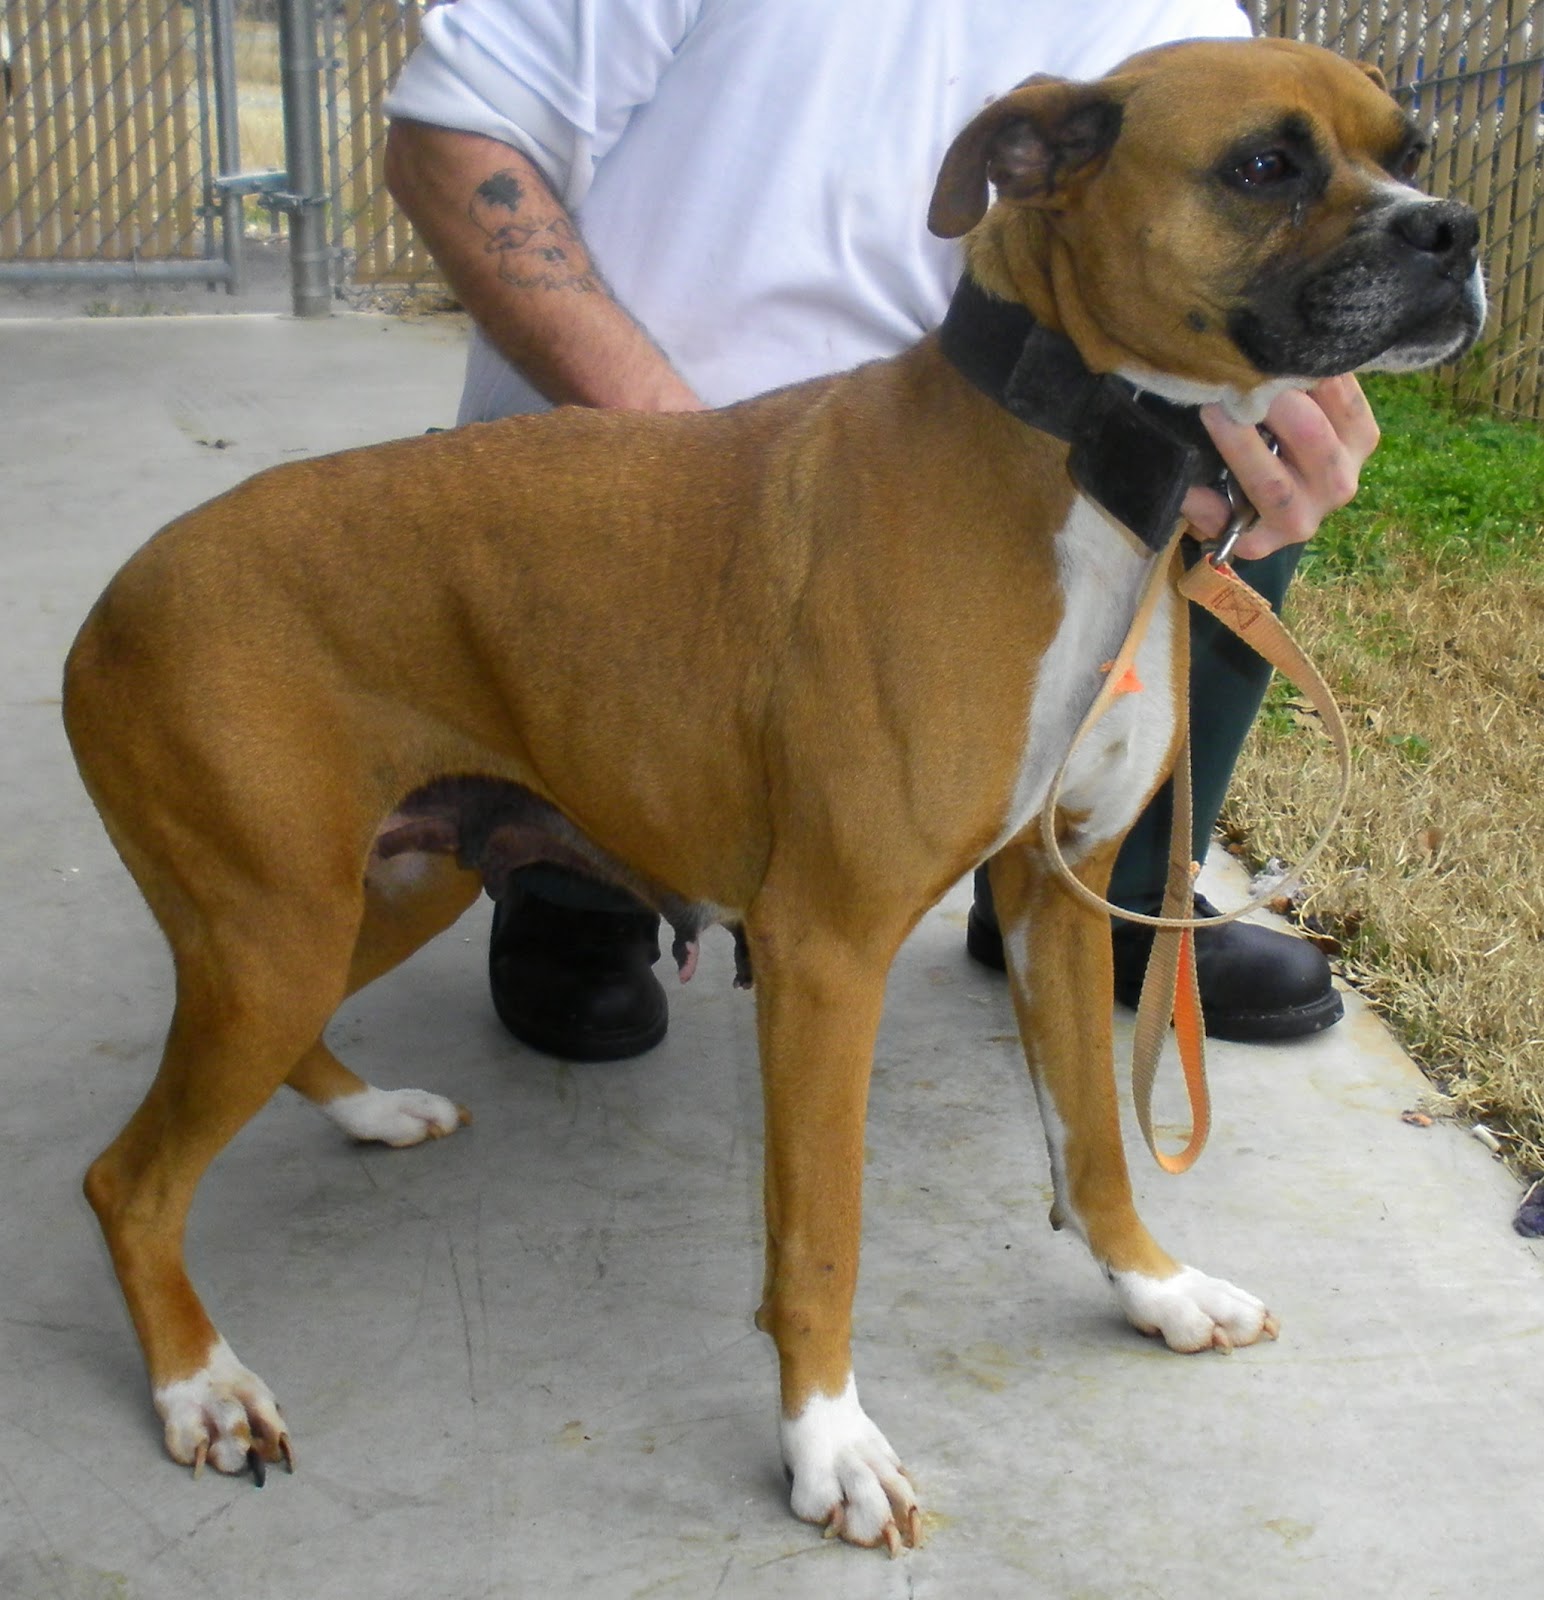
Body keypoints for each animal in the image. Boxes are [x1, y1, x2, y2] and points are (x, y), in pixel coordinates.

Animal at [63, 40, 1484, 1548]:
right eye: (1264, 165)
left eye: (1409, 146)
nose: (1452, 230)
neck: (1080, 462)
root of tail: (114, 602)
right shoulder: (825, 953)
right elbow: (820, 1236)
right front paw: (830, 1448)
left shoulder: (1056, 898)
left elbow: (1093, 1139)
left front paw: (1153, 1289)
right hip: (274, 935)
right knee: (130, 1182)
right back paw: (202, 1386)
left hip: (378, 889)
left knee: (271, 1063)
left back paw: (369, 1112)